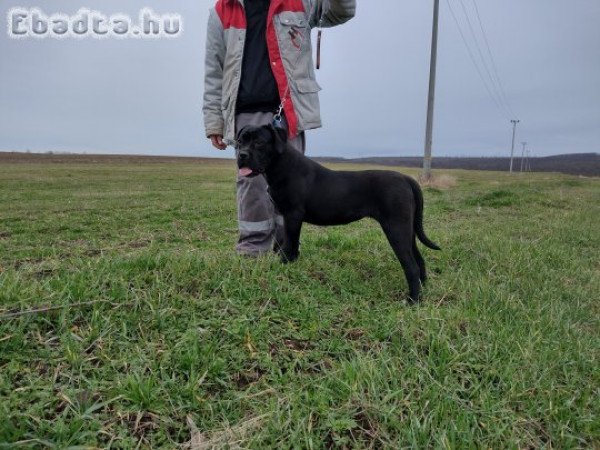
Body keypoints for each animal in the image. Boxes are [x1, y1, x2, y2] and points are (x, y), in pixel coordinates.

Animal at [236, 125, 440, 304]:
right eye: (239, 141)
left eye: (259, 142)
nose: (241, 155)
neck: (280, 165)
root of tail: (407, 179)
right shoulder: (287, 216)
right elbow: (290, 244)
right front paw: (291, 265)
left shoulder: (292, 215)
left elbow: (289, 243)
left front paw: (283, 265)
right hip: (407, 229)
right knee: (419, 260)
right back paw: (423, 290)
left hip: (396, 228)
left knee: (411, 266)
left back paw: (412, 301)